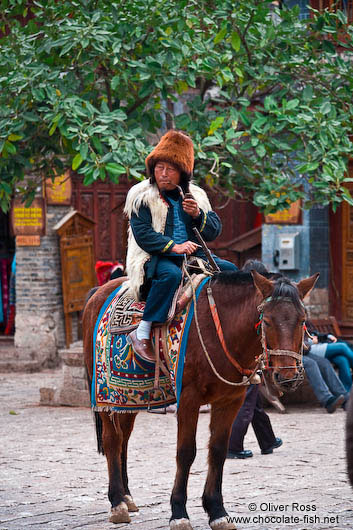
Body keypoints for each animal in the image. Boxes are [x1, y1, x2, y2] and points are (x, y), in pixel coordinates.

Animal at [83, 270, 320, 524]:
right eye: (266, 321)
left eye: (302, 320)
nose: (287, 376)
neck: (222, 328)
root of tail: (98, 291)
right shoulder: (189, 398)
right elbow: (186, 452)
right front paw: (178, 512)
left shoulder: (230, 400)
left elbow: (217, 450)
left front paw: (216, 510)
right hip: (104, 393)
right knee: (112, 440)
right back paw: (117, 502)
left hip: (130, 396)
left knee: (124, 439)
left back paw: (126, 496)